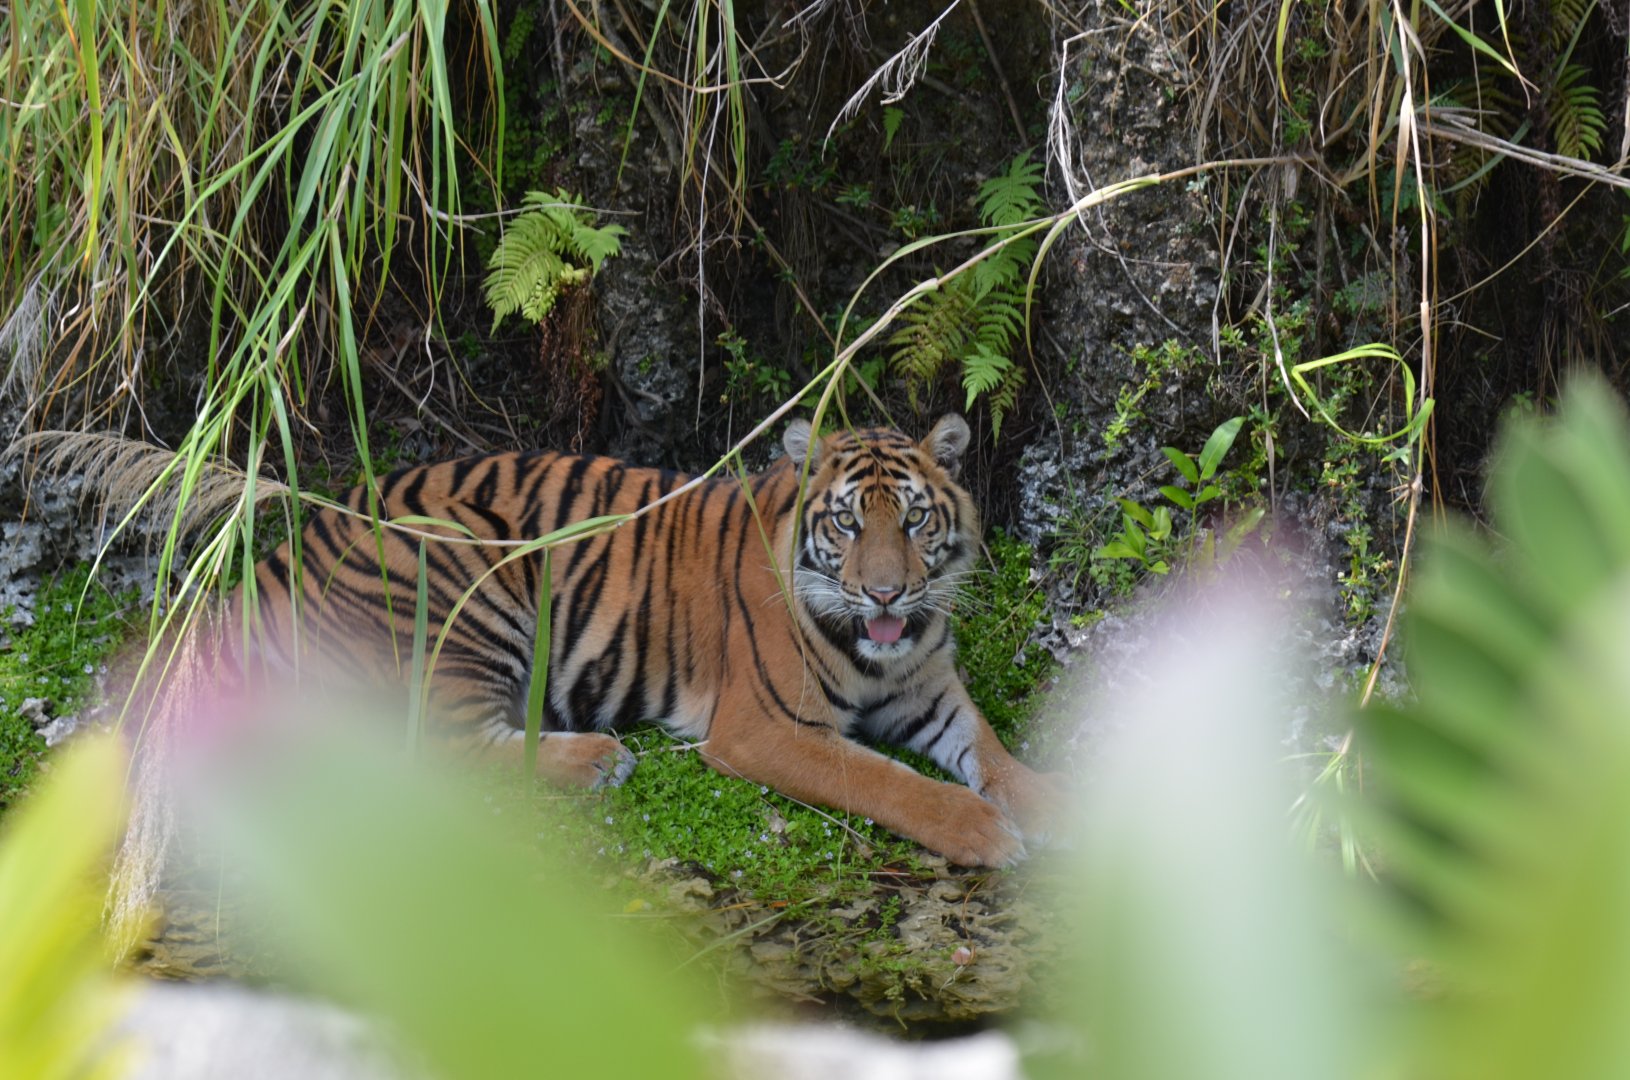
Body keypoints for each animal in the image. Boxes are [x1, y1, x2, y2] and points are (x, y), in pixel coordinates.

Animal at [229, 414, 1056, 867]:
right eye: (848, 523)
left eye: (913, 520)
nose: (886, 594)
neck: (885, 646)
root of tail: (281, 552)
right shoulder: (766, 728)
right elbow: (888, 780)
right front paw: (986, 831)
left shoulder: (929, 691)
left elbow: (993, 755)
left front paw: (1053, 805)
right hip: (467, 568)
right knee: (439, 749)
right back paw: (599, 759)